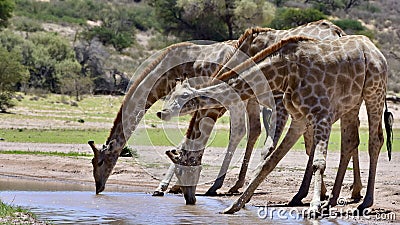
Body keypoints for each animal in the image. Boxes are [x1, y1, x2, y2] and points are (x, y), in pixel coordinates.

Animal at [158, 34, 390, 213]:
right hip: (351, 104)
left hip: (374, 91)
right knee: (349, 142)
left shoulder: (321, 114)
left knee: (375, 140)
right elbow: (270, 161)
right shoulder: (300, 118)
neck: (284, 70)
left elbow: (317, 162)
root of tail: (374, 49)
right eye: (170, 95)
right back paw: (331, 202)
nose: (162, 112)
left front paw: (314, 206)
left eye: (183, 96)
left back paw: (364, 202)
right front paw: (234, 206)